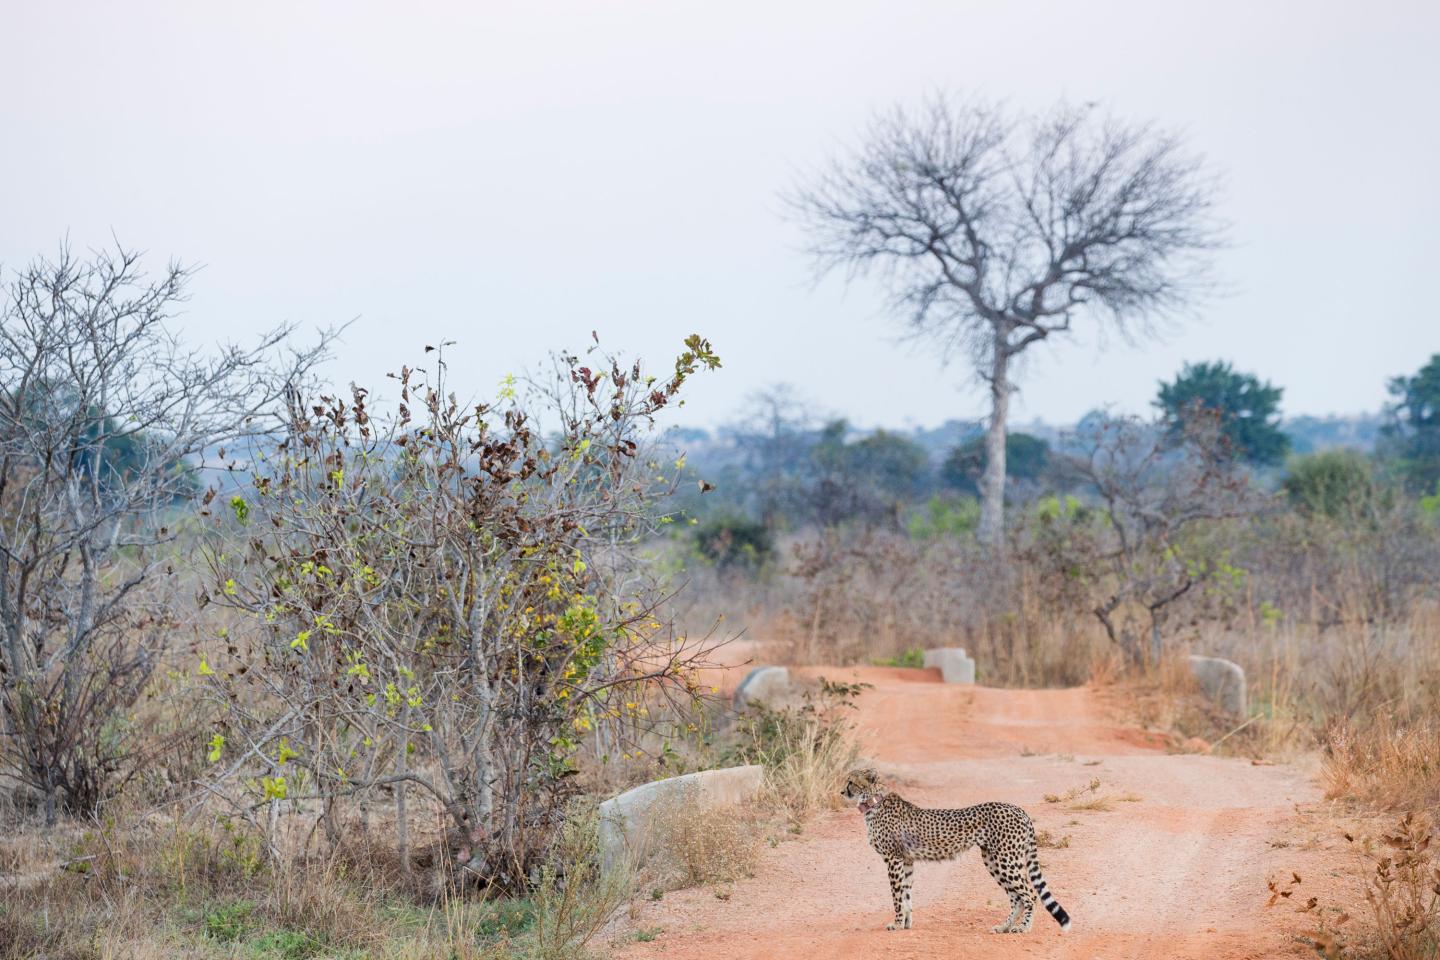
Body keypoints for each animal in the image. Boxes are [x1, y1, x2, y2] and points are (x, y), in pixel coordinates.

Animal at [840, 767, 1072, 934]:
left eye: (850, 781)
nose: (842, 792)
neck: (873, 801)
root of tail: (1018, 809)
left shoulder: (893, 858)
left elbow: (897, 896)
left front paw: (896, 924)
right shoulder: (906, 861)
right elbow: (906, 894)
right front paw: (906, 924)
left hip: (1006, 859)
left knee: (1029, 894)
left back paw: (1023, 927)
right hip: (993, 860)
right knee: (1016, 897)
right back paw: (1003, 927)